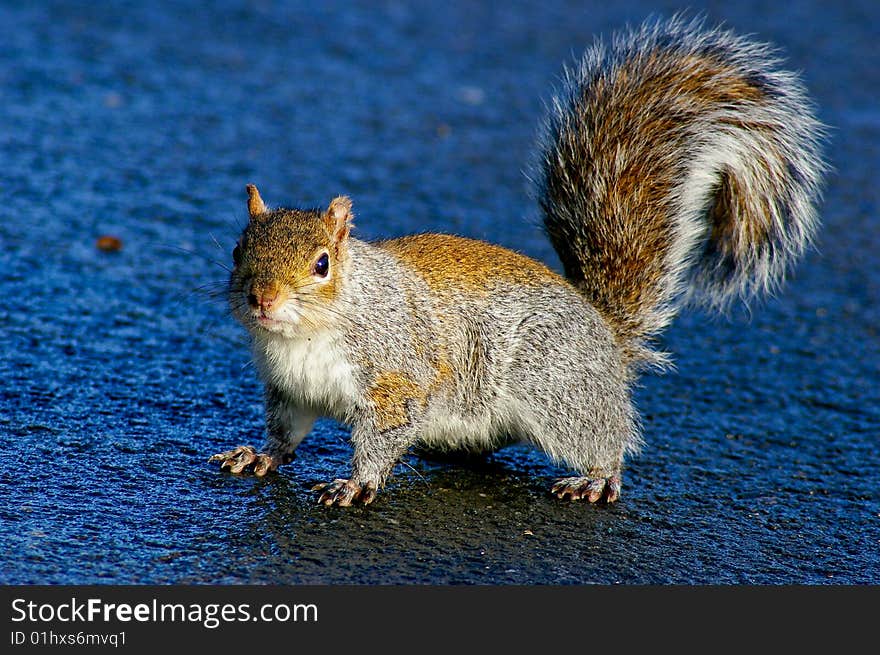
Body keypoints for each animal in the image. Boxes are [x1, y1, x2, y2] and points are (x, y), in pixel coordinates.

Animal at [211, 16, 824, 508]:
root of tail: (606, 334)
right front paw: (261, 455)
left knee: (604, 437)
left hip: (553, 384)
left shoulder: (396, 376)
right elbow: (285, 433)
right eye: (239, 251)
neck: (305, 335)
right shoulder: (290, 390)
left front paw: (355, 483)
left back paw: (597, 478)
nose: (262, 299)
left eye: (321, 265)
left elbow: (383, 435)